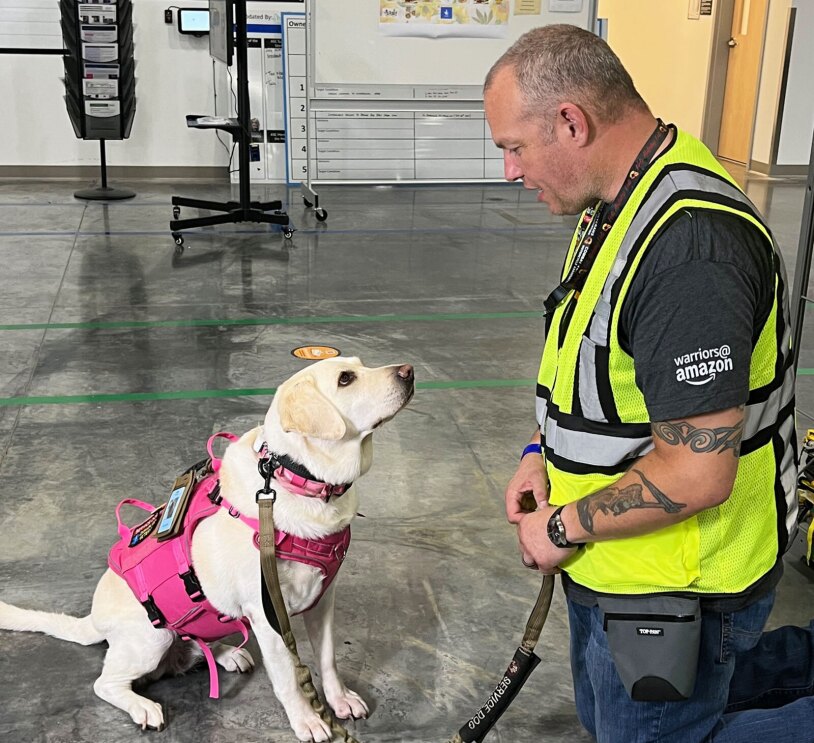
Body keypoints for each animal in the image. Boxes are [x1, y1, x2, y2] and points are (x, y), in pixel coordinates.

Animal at [0, 358, 414, 740]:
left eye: (360, 365)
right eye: (346, 379)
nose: (409, 371)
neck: (295, 480)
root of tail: (93, 620)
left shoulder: (323, 601)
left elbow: (327, 660)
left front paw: (339, 700)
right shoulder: (268, 616)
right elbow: (288, 679)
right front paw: (307, 721)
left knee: (195, 645)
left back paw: (225, 653)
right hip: (151, 638)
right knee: (106, 683)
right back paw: (142, 706)